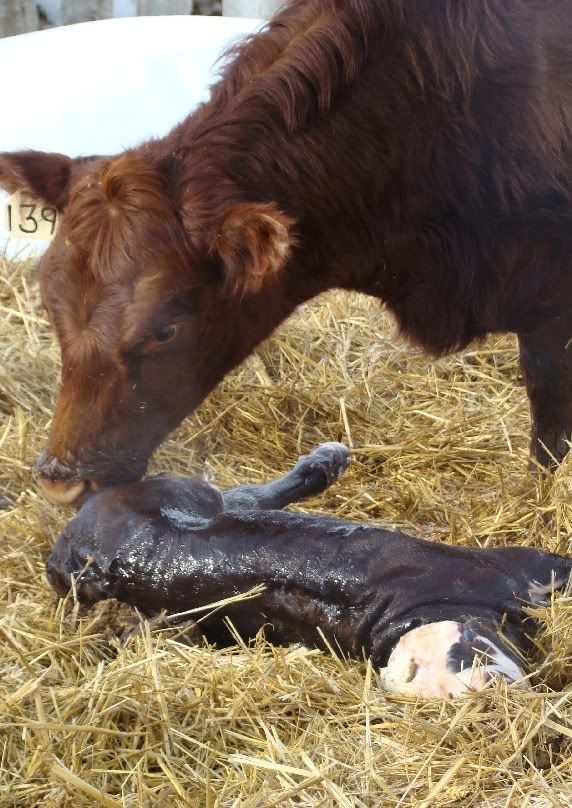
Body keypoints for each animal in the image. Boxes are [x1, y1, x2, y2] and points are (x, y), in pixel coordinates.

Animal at [46, 442, 572, 698]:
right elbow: (553, 565)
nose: (493, 687)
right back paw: (325, 461)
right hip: (178, 491)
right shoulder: (500, 569)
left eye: (468, 652)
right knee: (245, 495)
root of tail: (71, 548)